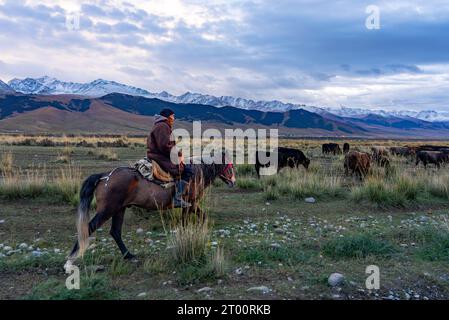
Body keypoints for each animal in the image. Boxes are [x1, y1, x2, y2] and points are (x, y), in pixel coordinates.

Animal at [67, 152, 236, 264]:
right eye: (230, 165)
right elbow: (192, 219)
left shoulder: (191, 205)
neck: (196, 173)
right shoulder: (191, 204)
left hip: (119, 209)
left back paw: (129, 255)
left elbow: (196, 218)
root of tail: (104, 176)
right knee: (89, 227)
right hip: (107, 210)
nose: (233, 181)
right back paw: (72, 257)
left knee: (115, 232)